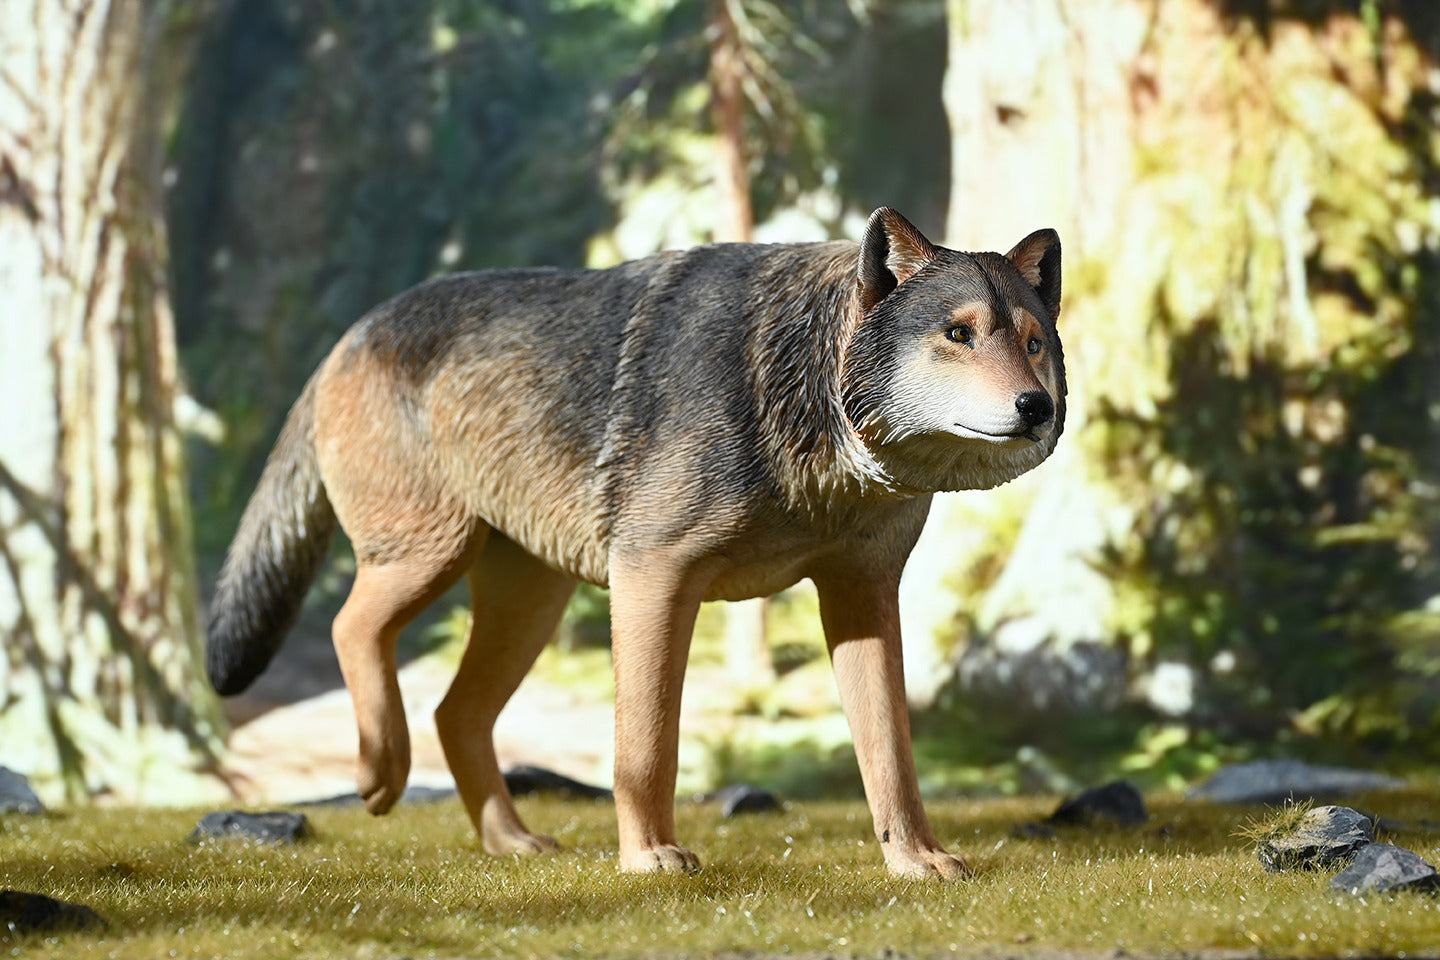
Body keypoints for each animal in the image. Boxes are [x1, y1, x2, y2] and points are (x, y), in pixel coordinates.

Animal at [207, 207, 1064, 878]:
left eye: (1032, 342)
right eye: (959, 334)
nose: (1039, 407)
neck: (793, 388)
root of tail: (350, 334)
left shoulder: (862, 595)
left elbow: (892, 753)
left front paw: (915, 860)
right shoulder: (654, 577)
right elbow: (645, 746)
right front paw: (649, 857)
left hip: (529, 606)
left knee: (454, 712)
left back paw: (510, 842)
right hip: (429, 557)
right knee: (351, 629)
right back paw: (380, 771)